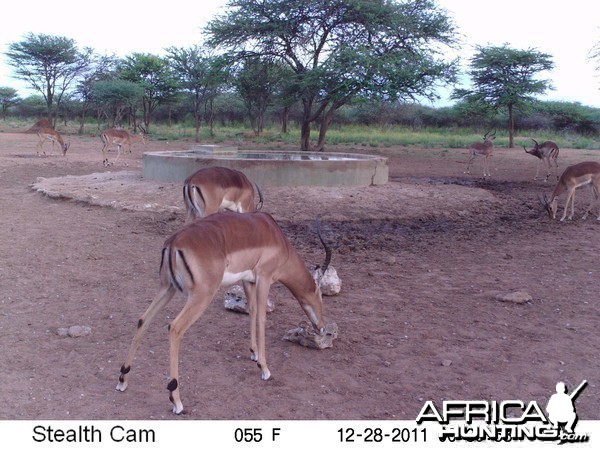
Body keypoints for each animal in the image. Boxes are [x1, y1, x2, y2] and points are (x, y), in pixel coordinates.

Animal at [115, 212, 330, 414]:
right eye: (320, 295)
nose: (321, 328)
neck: (276, 237)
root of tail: (174, 242)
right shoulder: (264, 278)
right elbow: (261, 318)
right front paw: (264, 368)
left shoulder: (248, 280)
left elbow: (252, 312)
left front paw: (254, 353)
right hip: (201, 295)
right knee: (174, 328)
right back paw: (176, 401)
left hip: (167, 288)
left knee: (143, 320)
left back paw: (123, 379)